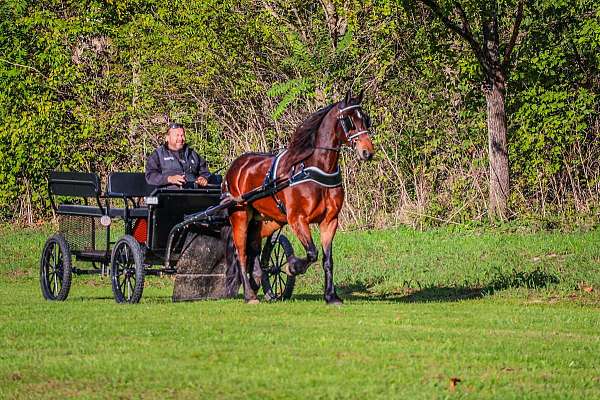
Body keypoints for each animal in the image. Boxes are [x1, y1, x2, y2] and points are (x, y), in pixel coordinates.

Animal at [224, 89, 376, 304]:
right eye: (349, 121)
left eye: (366, 119)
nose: (367, 152)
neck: (314, 170)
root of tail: (236, 166)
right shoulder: (297, 219)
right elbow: (312, 253)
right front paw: (292, 266)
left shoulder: (330, 221)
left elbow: (327, 260)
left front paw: (331, 296)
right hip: (240, 216)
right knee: (242, 254)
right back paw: (249, 295)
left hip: (265, 221)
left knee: (254, 250)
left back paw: (258, 281)